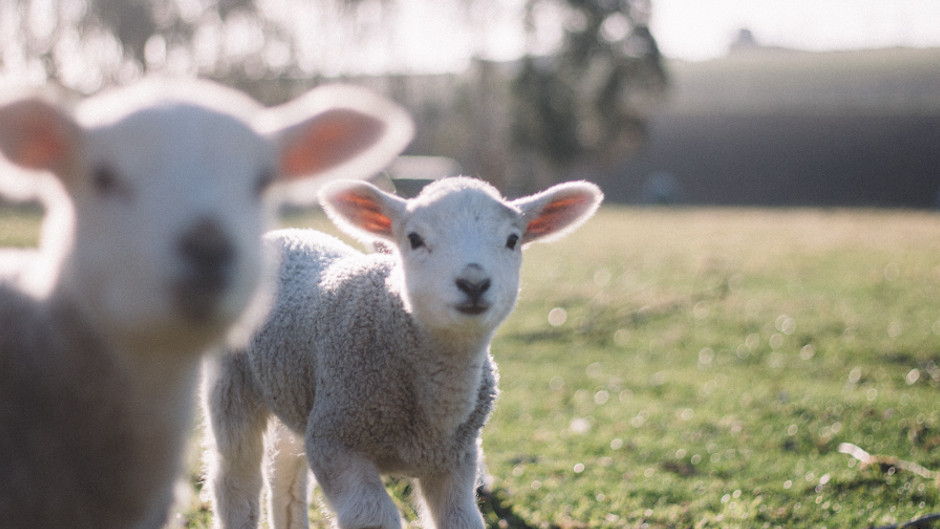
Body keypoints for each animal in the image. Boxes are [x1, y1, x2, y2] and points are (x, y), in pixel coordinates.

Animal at [204, 176, 604, 528]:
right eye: (414, 239)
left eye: (512, 240)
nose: (474, 283)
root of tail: (285, 234)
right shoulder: (336, 442)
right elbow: (373, 518)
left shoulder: (456, 461)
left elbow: (462, 520)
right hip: (232, 383)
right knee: (235, 478)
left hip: (296, 391)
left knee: (285, 471)